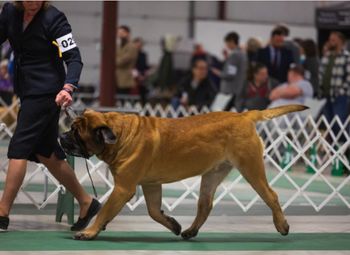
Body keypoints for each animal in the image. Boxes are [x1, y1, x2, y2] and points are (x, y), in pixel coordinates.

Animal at [60, 103, 308, 239]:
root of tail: (244, 115)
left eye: (77, 133)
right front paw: (173, 224)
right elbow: (154, 211)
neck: (121, 135)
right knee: (205, 205)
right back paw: (189, 231)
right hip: (212, 175)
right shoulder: (150, 185)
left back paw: (282, 225)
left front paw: (89, 232)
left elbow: (104, 211)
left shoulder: (123, 188)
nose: (61, 137)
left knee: (271, 196)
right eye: (71, 129)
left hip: (251, 168)